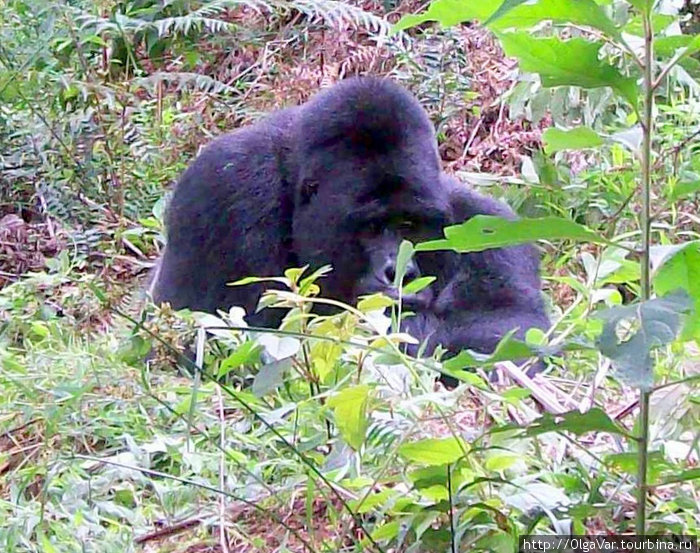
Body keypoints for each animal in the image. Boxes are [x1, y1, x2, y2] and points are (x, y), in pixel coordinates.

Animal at [150, 75, 548, 370]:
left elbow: (509, 331)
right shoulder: (222, 189)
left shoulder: (486, 223)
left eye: (409, 225)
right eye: (370, 228)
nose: (399, 273)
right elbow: (221, 340)